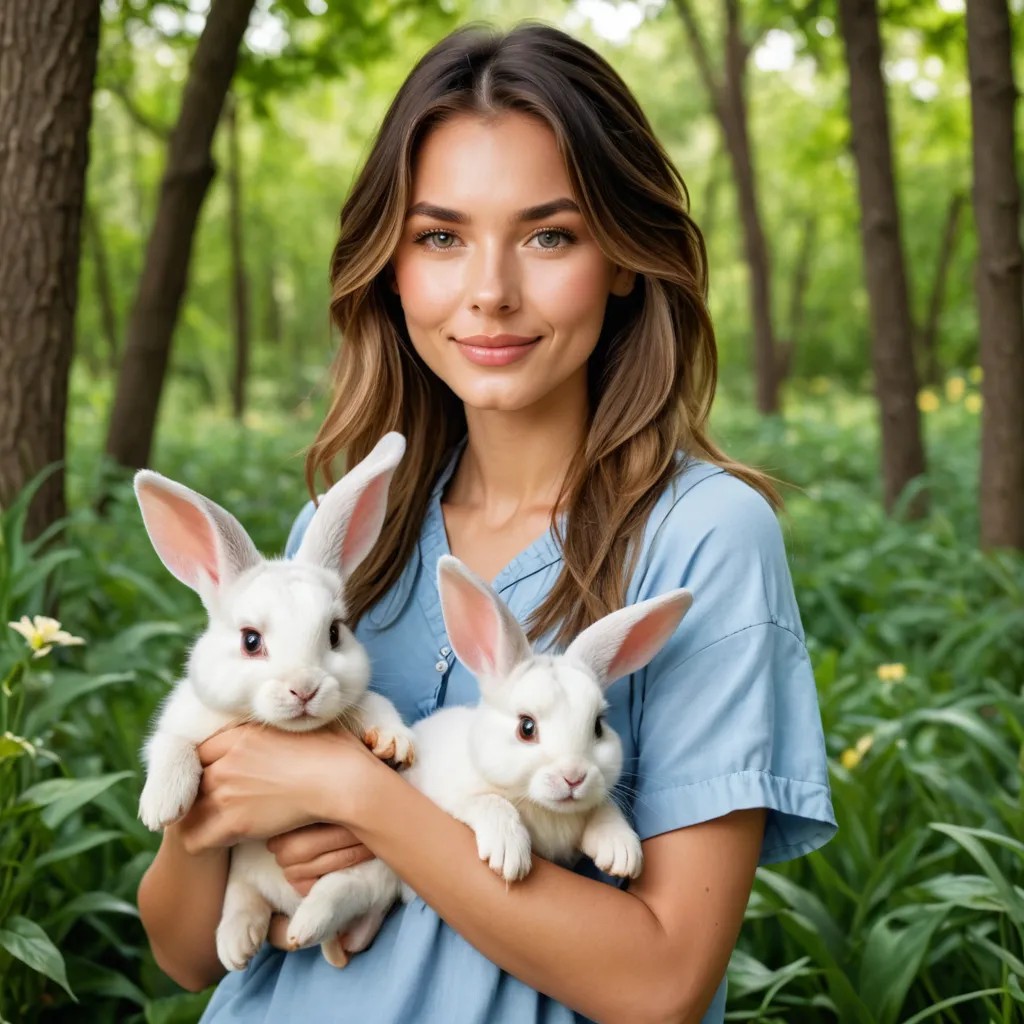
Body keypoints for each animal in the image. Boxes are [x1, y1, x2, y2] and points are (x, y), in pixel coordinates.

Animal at [134, 431, 413, 971]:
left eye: (334, 633)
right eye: (250, 641)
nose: (304, 688)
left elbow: (376, 707)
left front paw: (395, 744)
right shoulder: (180, 724)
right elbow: (170, 748)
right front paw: (160, 807)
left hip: (374, 870)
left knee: (343, 893)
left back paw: (305, 925)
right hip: (245, 870)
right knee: (248, 899)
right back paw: (237, 945)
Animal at [400, 554, 693, 893]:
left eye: (598, 727)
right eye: (526, 728)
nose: (574, 777)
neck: (545, 809)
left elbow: (604, 807)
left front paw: (621, 852)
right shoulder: (452, 794)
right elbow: (490, 801)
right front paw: (509, 853)